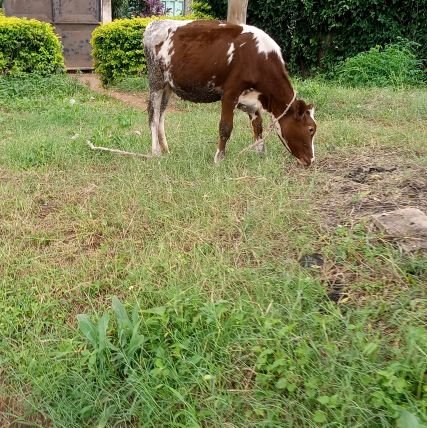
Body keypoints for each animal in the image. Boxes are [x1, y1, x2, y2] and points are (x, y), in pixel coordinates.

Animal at [144, 20, 318, 166]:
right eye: (310, 129)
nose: (311, 160)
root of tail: (154, 24)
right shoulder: (229, 94)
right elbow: (225, 127)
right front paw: (219, 158)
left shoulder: (252, 100)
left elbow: (258, 127)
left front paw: (260, 154)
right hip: (156, 80)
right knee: (154, 115)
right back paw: (156, 152)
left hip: (168, 86)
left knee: (161, 115)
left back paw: (166, 150)